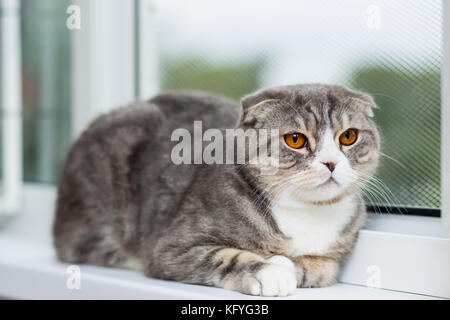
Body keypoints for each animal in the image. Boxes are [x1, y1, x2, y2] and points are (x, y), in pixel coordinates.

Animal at [54, 83, 382, 298]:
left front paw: (291, 265)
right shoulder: (170, 246)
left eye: (348, 136)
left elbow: (323, 267)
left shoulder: (335, 251)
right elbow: (224, 256)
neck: (306, 213)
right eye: (296, 140)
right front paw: (269, 269)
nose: (331, 162)